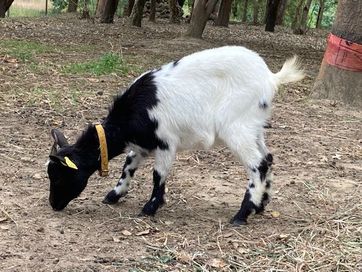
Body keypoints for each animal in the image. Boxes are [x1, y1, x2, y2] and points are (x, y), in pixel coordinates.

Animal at [46, 45, 304, 225]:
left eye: (59, 177)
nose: (53, 205)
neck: (133, 113)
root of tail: (270, 78)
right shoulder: (143, 145)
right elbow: (128, 166)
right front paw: (114, 195)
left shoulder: (165, 143)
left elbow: (158, 175)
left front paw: (150, 208)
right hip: (254, 127)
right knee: (268, 158)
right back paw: (261, 204)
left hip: (237, 127)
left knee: (258, 164)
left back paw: (242, 214)